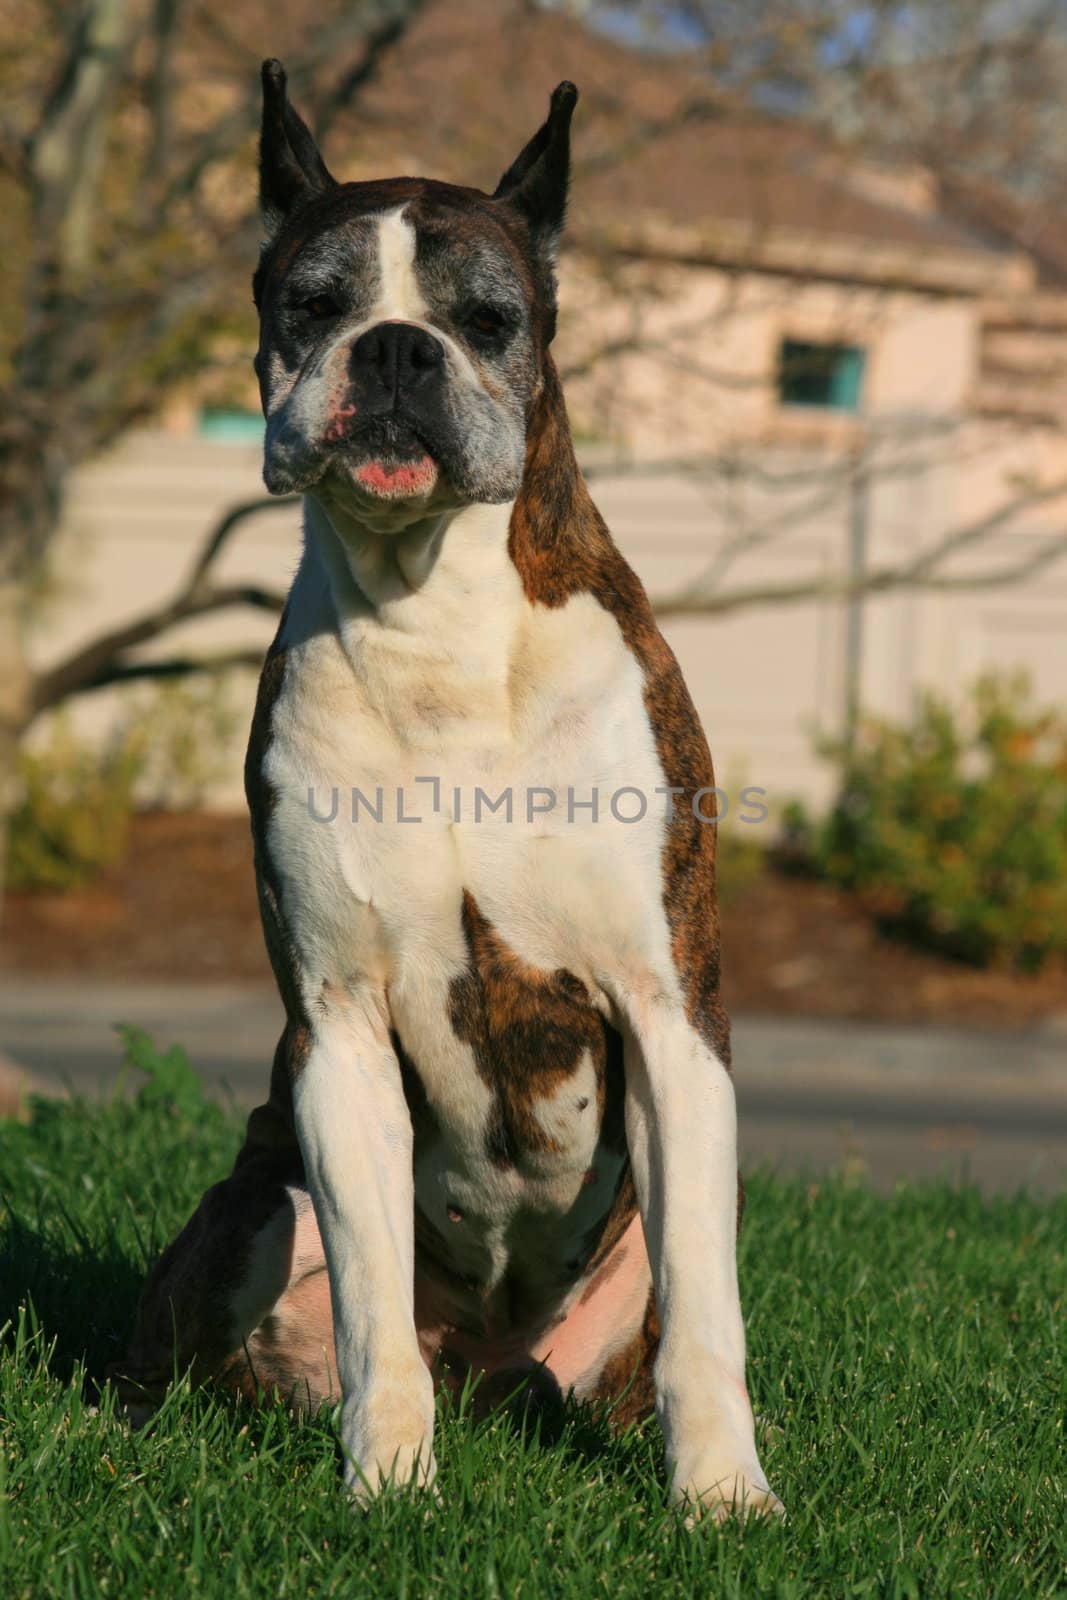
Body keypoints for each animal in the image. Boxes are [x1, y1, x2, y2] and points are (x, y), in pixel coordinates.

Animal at [115, 56, 783, 1516]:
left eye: (486, 318)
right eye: (311, 305)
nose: (393, 350)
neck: (440, 623)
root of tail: (490, 1368)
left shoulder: (668, 1014)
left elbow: (708, 1311)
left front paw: (719, 1491)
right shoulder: (339, 1031)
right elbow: (371, 1290)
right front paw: (388, 1478)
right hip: (254, 1202)